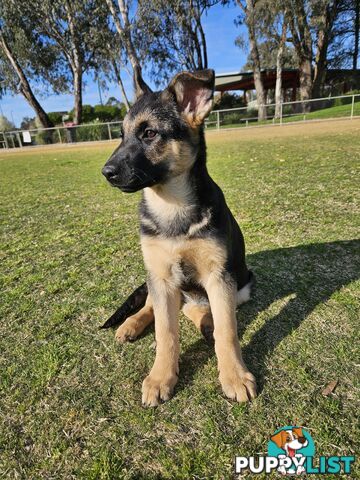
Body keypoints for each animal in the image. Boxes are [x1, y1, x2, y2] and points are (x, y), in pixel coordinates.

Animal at [102, 67, 256, 404]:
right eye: (121, 134)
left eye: (149, 133)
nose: (106, 173)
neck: (171, 206)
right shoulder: (160, 276)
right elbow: (166, 332)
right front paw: (161, 377)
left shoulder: (219, 277)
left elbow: (227, 331)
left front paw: (235, 376)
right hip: (158, 281)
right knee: (156, 307)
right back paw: (131, 324)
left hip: (240, 286)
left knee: (197, 309)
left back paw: (207, 322)